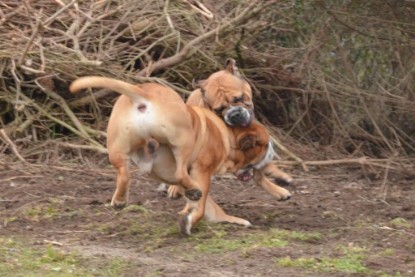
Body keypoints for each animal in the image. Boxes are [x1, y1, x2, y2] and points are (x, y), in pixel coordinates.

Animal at [71, 75, 278, 233]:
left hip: (117, 149)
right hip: (183, 141)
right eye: (265, 144)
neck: (227, 133)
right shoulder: (202, 173)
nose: (273, 152)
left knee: (124, 175)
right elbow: (201, 206)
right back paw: (192, 190)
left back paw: (120, 200)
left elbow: (209, 207)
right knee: (180, 173)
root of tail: (143, 94)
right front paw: (191, 220)